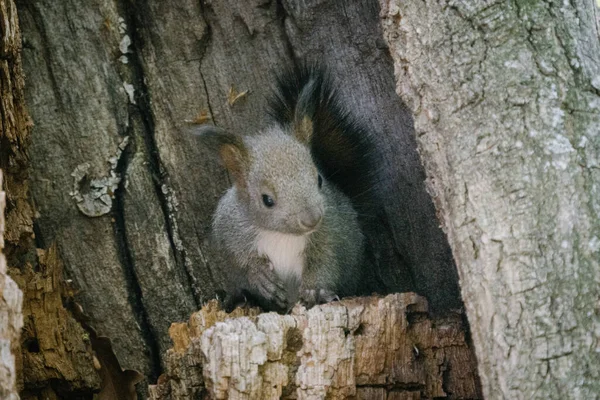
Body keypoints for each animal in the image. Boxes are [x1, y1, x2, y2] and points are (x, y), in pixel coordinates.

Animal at [197, 64, 376, 312]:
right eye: (266, 199)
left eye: (319, 179)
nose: (312, 220)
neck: (282, 235)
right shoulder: (230, 230)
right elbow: (237, 259)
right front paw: (259, 276)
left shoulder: (332, 234)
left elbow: (326, 261)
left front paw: (314, 290)